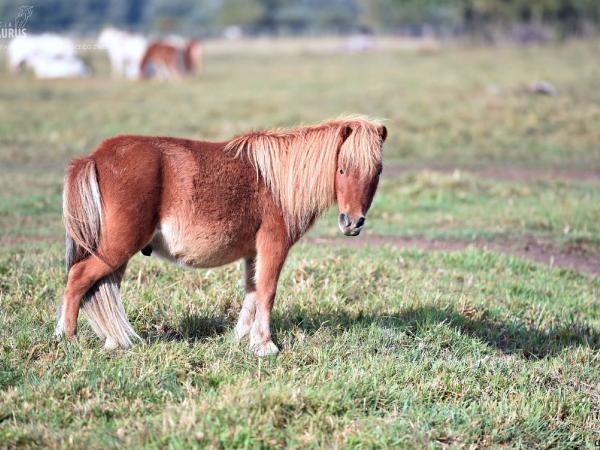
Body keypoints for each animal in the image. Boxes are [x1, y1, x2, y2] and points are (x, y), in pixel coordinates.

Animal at [55, 116, 384, 356]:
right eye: (342, 169)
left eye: (377, 171)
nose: (352, 222)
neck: (275, 182)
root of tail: (94, 157)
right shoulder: (273, 246)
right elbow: (267, 292)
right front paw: (265, 345)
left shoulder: (253, 252)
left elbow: (252, 292)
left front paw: (243, 337)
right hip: (116, 248)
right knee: (79, 279)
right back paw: (67, 337)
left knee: (99, 286)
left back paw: (112, 341)